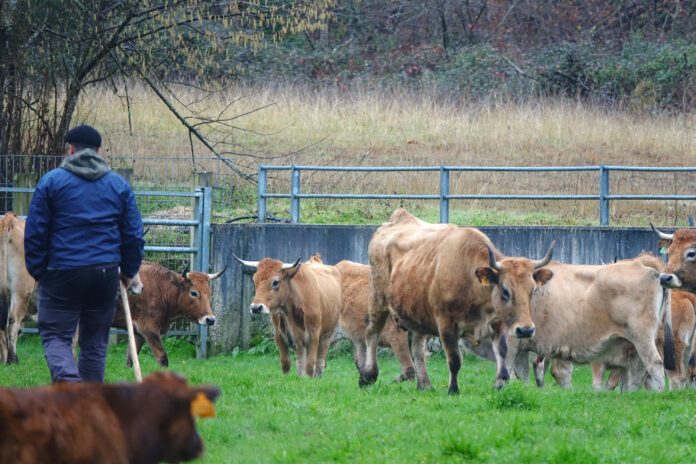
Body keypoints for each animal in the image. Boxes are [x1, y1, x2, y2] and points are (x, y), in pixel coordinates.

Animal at [359, 209, 555, 394]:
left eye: (532, 290)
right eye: (505, 290)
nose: (526, 330)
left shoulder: (498, 322)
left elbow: (502, 352)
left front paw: (499, 384)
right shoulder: (446, 323)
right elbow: (454, 359)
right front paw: (453, 389)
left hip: (418, 312)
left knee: (417, 347)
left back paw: (425, 384)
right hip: (377, 298)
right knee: (372, 333)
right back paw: (368, 375)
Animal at [501, 253, 676, 391]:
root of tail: (648, 270)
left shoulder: (511, 341)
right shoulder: (521, 346)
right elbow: (522, 375)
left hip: (642, 337)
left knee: (654, 365)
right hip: (633, 344)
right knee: (638, 374)